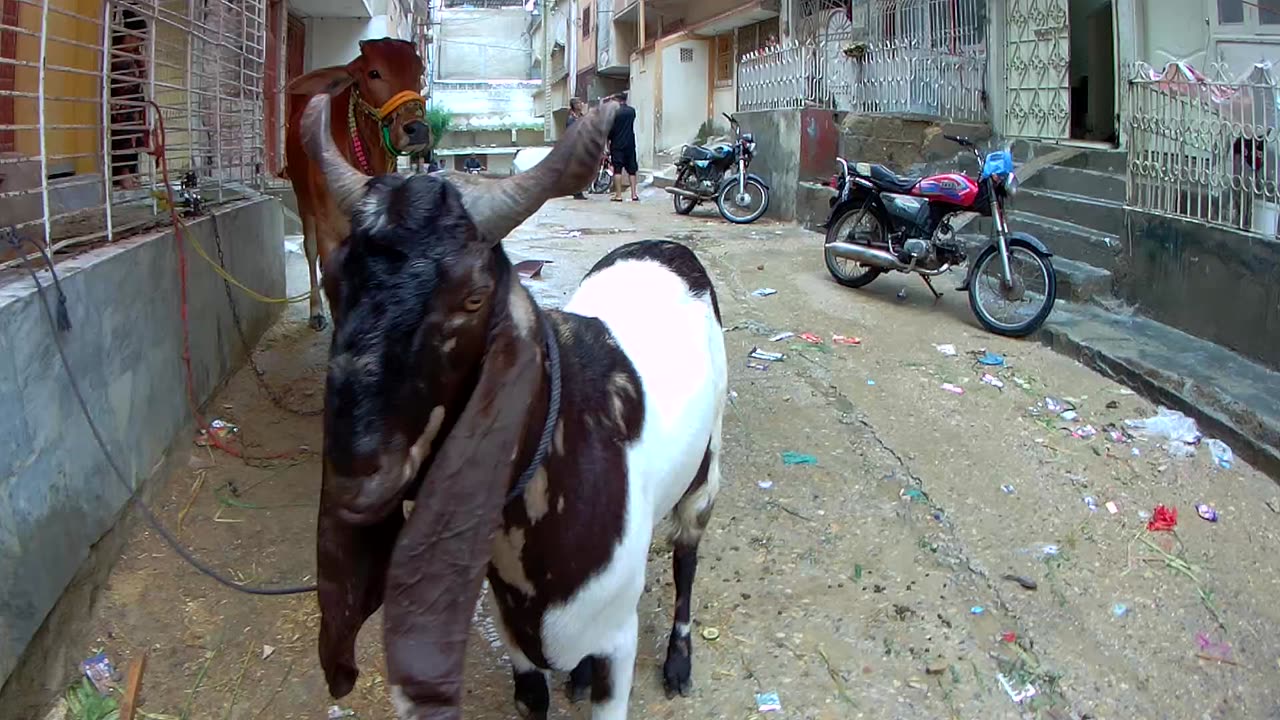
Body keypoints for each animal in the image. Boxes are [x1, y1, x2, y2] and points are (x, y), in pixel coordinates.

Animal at [282, 37, 427, 330]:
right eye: (373, 73)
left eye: (419, 71)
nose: (417, 129)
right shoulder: (329, 231)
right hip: (304, 203)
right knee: (310, 251)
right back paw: (316, 310)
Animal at [294, 94, 727, 717]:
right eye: (332, 281)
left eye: (474, 297)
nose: (357, 475)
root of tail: (666, 247)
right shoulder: (514, 633)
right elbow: (533, 693)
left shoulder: (618, 640)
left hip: (708, 463)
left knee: (687, 550)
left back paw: (678, 660)